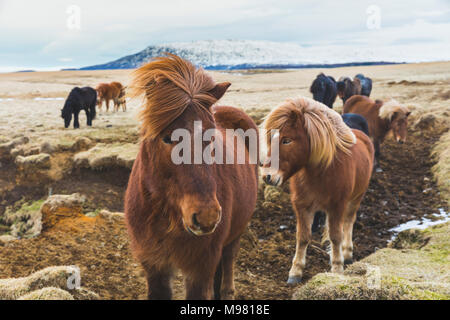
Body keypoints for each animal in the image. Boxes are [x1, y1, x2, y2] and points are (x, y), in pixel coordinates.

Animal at [123, 53, 258, 300]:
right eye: (167, 138)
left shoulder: (200, 269)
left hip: (236, 232)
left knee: (228, 261)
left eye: (211, 137)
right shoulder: (154, 266)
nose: (207, 217)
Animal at [260, 96, 372, 284]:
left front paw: (337, 269)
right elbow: (303, 237)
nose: (267, 176)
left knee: (349, 222)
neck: (321, 172)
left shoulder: (337, 206)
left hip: (356, 198)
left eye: (286, 140)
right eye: (270, 139)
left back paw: (347, 254)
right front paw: (295, 272)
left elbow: (335, 235)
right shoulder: (302, 206)